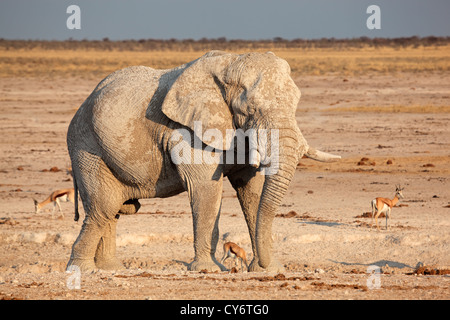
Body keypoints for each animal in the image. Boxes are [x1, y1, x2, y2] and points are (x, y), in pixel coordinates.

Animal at [67, 50, 340, 272]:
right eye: (250, 110)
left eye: (296, 104)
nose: (262, 264)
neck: (231, 64)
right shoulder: (189, 132)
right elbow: (205, 189)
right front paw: (208, 269)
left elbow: (251, 191)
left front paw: (269, 270)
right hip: (86, 147)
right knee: (103, 208)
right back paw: (83, 270)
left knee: (112, 211)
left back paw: (110, 269)